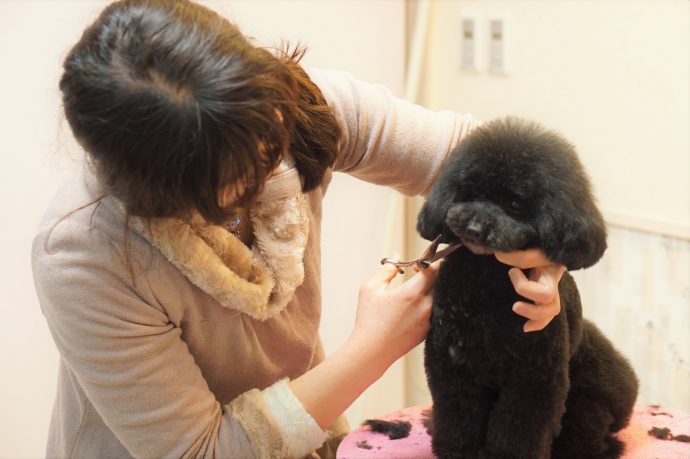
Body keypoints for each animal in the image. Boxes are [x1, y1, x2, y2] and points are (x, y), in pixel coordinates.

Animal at [417, 117, 638, 459]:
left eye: (515, 203)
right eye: (470, 192)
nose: (474, 228)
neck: (486, 278)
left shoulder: (535, 375)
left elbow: (520, 428)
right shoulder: (451, 361)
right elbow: (458, 415)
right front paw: (457, 450)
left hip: (589, 398)